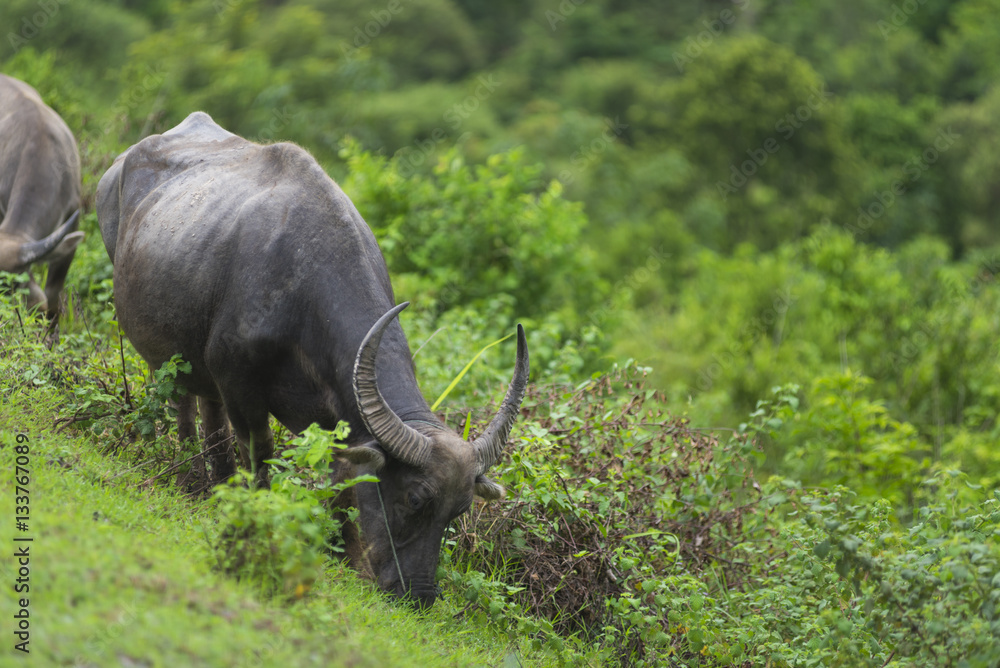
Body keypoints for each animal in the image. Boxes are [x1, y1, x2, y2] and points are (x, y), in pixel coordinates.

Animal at [96, 112, 528, 607]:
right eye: (415, 499)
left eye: (458, 511)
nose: (418, 595)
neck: (300, 290)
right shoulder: (241, 384)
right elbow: (261, 451)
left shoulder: (335, 417)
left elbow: (341, 480)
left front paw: (345, 553)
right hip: (166, 354)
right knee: (184, 402)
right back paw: (192, 480)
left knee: (208, 410)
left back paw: (217, 487)